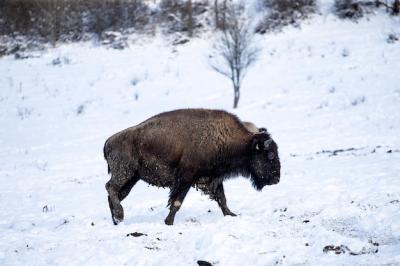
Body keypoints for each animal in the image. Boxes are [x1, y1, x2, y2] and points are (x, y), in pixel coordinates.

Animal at [105, 109, 282, 225]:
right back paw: (119, 216)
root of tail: (108, 142)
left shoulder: (211, 179)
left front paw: (231, 215)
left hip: (132, 178)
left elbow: (222, 198)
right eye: (270, 155)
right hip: (125, 173)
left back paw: (116, 220)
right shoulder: (186, 179)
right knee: (111, 188)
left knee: (115, 193)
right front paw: (169, 222)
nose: (277, 179)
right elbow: (177, 201)